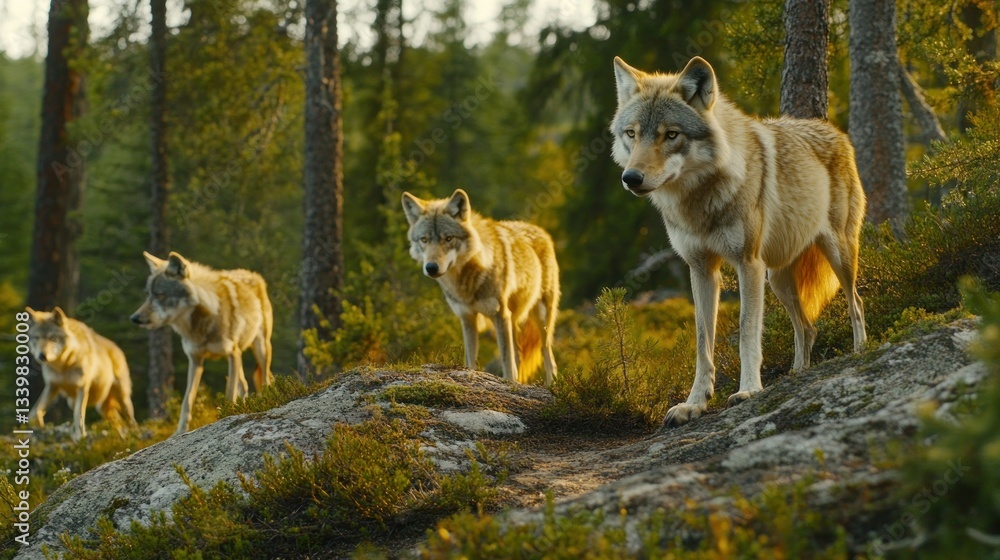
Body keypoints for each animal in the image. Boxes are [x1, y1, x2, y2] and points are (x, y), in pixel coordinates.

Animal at [26, 307, 137, 441]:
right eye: (36, 338)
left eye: (52, 338)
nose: (42, 356)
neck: (63, 366)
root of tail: (116, 347)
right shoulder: (52, 386)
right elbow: (35, 411)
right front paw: (37, 425)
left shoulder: (82, 388)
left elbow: (78, 416)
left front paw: (80, 437)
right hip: (95, 406)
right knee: (118, 422)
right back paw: (122, 438)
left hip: (122, 399)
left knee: (131, 421)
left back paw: (136, 435)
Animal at [131, 251, 274, 435]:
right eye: (148, 295)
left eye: (161, 295)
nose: (134, 318)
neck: (199, 327)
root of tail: (252, 274)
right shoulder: (195, 360)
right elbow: (187, 401)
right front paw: (179, 432)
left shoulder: (231, 353)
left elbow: (229, 393)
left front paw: (227, 416)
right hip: (239, 357)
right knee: (244, 384)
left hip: (259, 349)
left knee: (265, 380)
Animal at [402, 189, 560, 386]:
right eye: (424, 239)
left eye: (448, 238)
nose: (431, 267)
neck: (466, 283)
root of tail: (540, 230)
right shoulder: (467, 317)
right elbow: (470, 360)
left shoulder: (499, 315)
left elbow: (507, 362)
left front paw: (509, 383)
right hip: (512, 319)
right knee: (519, 355)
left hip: (540, 318)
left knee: (548, 356)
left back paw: (552, 386)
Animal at [610, 56, 868, 427]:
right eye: (632, 134)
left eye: (671, 134)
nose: (631, 178)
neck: (698, 200)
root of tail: (835, 131)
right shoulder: (701, 269)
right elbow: (703, 341)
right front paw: (694, 403)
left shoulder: (747, 263)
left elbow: (747, 331)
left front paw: (748, 390)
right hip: (777, 280)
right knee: (808, 327)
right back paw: (797, 373)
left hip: (836, 255)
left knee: (856, 302)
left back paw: (861, 351)